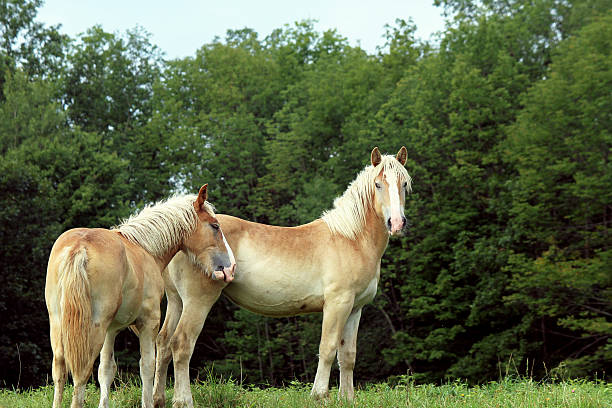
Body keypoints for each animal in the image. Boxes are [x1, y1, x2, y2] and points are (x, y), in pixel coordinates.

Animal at [44, 186, 235, 408]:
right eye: (215, 226)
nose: (230, 267)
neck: (146, 249)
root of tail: (80, 247)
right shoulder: (148, 322)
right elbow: (147, 366)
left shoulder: (111, 330)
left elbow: (106, 370)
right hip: (93, 327)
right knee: (81, 371)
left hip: (58, 323)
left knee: (60, 369)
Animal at [153, 147, 412, 408]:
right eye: (378, 184)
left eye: (404, 183)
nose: (396, 223)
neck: (351, 238)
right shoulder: (337, 304)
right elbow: (328, 348)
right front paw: (319, 395)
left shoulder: (355, 308)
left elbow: (348, 355)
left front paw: (346, 398)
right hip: (197, 302)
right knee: (181, 343)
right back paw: (183, 401)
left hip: (177, 301)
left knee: (163, 342)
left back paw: (158, 398)